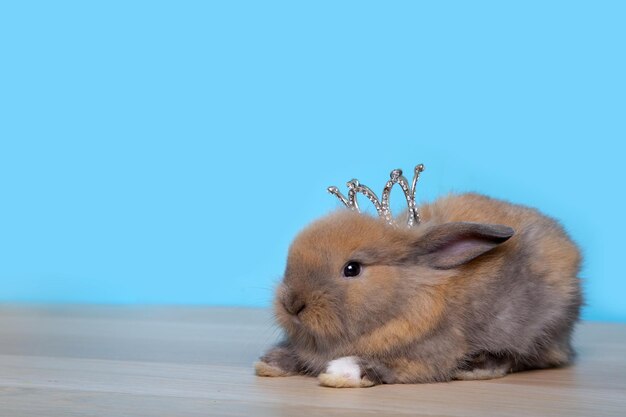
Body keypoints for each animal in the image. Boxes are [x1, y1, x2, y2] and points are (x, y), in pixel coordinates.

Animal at [252, 192, 580, 386]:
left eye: (352, 269)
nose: (292, 304)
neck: (403, 297)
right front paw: (269, 363)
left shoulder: (426, 356)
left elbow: (387, 365)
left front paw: (340, 373)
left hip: (538, 329)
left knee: (524, 357)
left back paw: (475, 367)